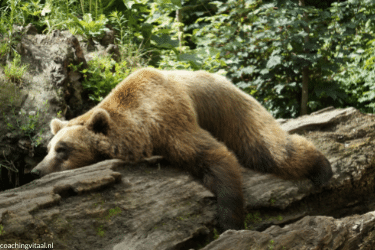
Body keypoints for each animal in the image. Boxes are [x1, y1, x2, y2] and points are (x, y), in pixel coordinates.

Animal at [30, 67, 334, 231]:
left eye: (62, 149)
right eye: (48, 148)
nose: (36, 171)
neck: (141, 128)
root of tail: (224, 77)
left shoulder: (169, 121)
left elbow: (213, 156)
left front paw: (230, 221)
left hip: (231, 110)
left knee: (266, 147)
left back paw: (322, 168)